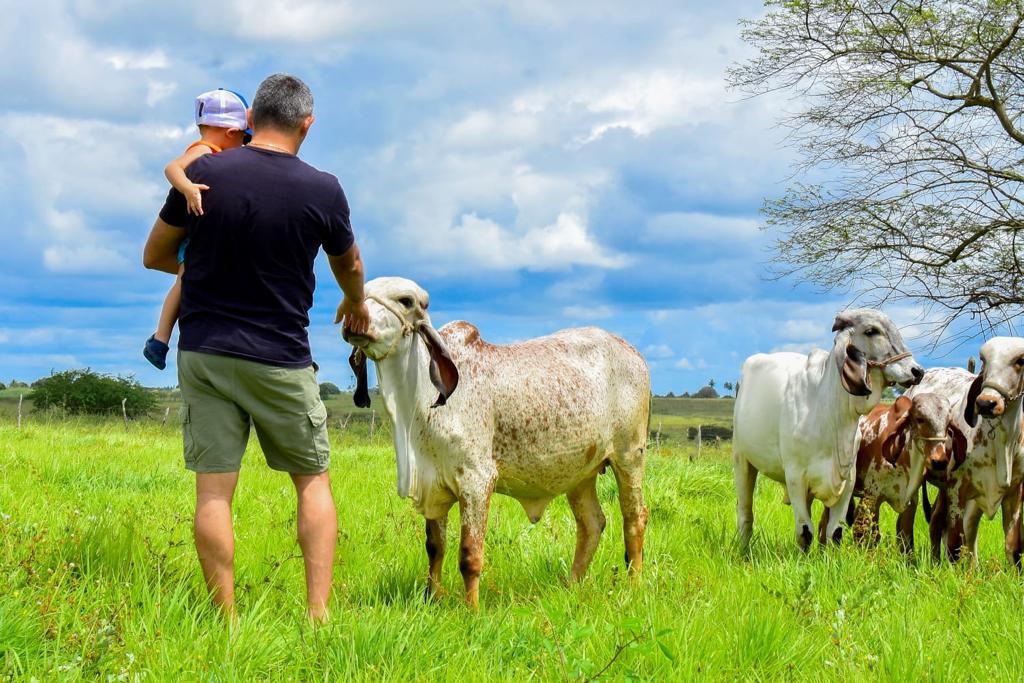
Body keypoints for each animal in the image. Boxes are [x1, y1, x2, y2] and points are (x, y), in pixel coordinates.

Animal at [342, 274, 647, 606]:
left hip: (629, 456)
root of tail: (631, 351)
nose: (354, 322)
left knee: (634, 519)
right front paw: (431, 598)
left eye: (405, 301)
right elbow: (435, 547)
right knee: (592, 524)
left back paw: (633, 588)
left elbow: (469, 555)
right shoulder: (435, 482)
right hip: (580, 473)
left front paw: (471, 608)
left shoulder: (476, 481)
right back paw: (571, 586)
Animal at [733, 309, 925, 548]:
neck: (830, 414)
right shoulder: (795, 478)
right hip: (741, 459)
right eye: (872, 331)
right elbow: (805, 532)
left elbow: (835, 533)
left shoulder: (847, 482)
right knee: (745, 514)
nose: (917, 371)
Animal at [909, 339, 1024, 569]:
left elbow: (1013, 546)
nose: (986, 403)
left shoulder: (1016, 491)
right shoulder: (958, 487)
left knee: (945, 522)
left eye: (1020, 360)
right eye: (984, 360)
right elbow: (955, 544)